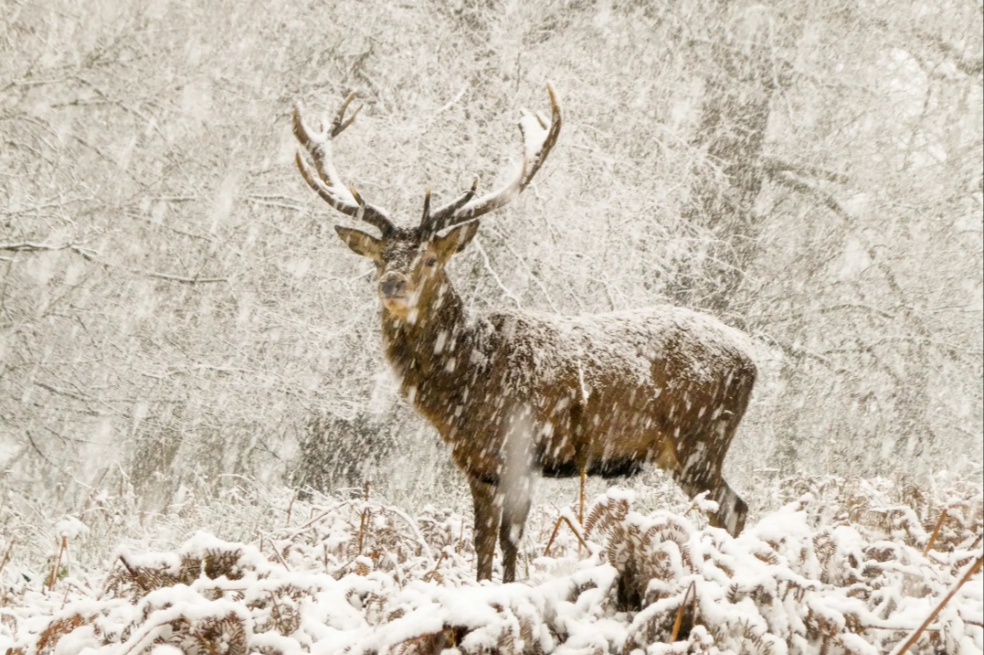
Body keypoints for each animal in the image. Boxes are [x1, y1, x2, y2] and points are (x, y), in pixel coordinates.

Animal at [291, 85, 757, 583]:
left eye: (431, 259)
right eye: (380, 258)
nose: (392, 284)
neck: (466, 380)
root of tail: (752, 360)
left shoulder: (522, 450)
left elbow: (512, 540)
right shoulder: (478, 465)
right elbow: (481, 541)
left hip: (700, 439)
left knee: (730, 507)